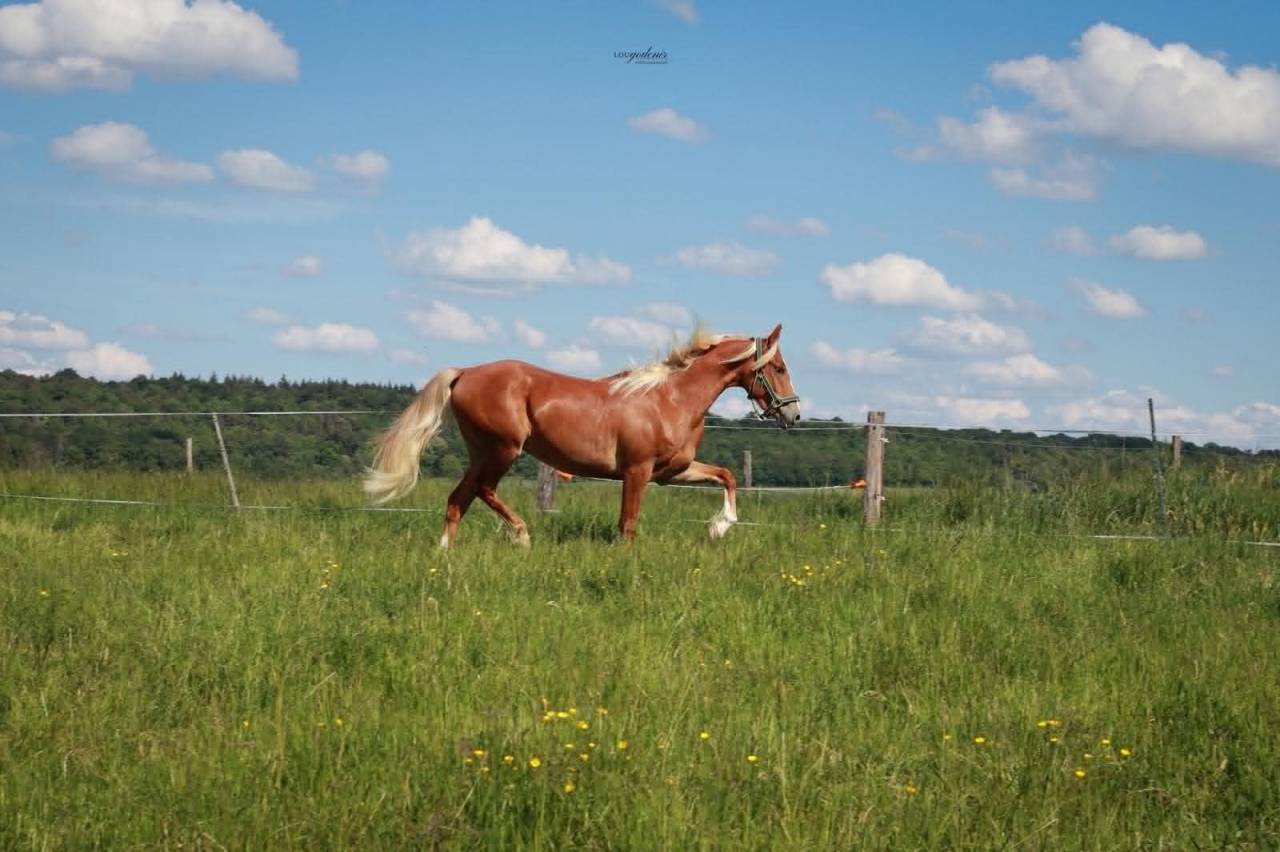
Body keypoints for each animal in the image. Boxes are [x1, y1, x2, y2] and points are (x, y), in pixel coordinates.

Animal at [363, 324, 801, 546]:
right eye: (778, 367)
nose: (793, 414)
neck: (670, 398)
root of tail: (466, 372)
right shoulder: (638, 471)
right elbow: (628, 523)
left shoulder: (674, 470)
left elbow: (727, 475)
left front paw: (718, 527)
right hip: (503, 449)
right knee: (483, 491)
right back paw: (521, 535)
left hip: (481, 452)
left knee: (459, 499)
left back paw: (446, 555)